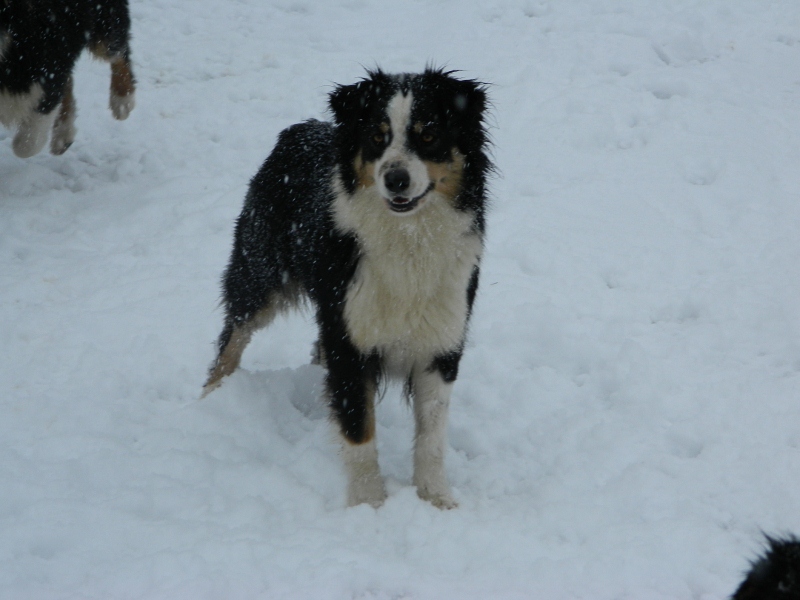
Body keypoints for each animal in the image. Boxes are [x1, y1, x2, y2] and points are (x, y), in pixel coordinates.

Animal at [0, 0, 136, 158]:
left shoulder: (46, 68)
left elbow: (27, 145)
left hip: (103, 20)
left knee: (118, 50)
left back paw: (122, 101)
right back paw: (64, 134)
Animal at [203, 69, 490, 510]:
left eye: (428, 135)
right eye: (377, 136)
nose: (395, 179)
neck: (409, 240)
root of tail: (300, 129)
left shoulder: (442, 342)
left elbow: (432, 436)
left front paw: (436, 498)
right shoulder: (349, 342)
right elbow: (358, 430)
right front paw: (369, 504)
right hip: (260, 272)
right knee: (231, 338)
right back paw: (212, 399)